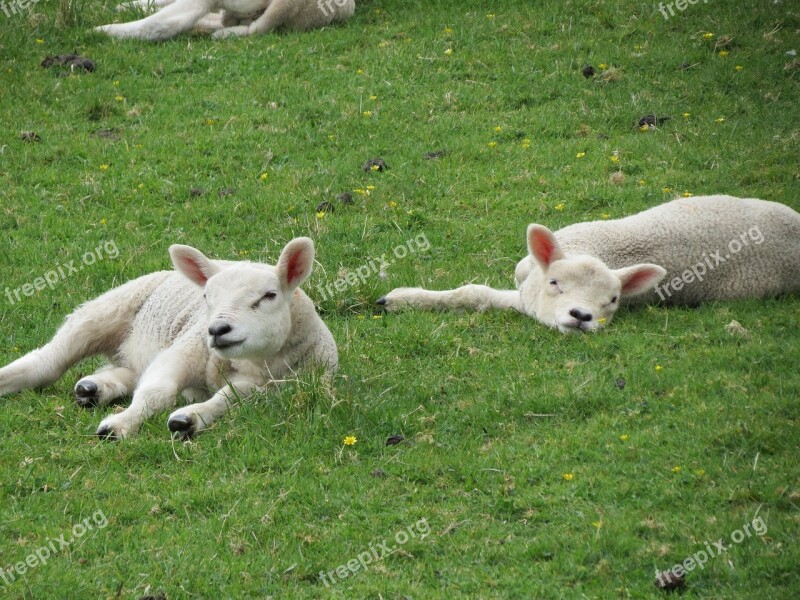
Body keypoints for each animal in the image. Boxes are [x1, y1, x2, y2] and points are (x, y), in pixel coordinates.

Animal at [0, 237, 336, 438]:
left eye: (269, 296)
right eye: (206, 296)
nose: (217, 330)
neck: (255, 362)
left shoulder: (277, 387)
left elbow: (230, 397)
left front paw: (188, 419)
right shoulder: (186, 349)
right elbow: (156, 392)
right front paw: (119, 425)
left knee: (129, 371)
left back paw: (94, 388)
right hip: (104, 311)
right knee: (47, 363)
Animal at [380, 196, 800, 332]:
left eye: (613, 301)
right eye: (555, 283)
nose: (581, 316)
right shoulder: (526, 291)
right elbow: (474, 293)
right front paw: (399, 300)